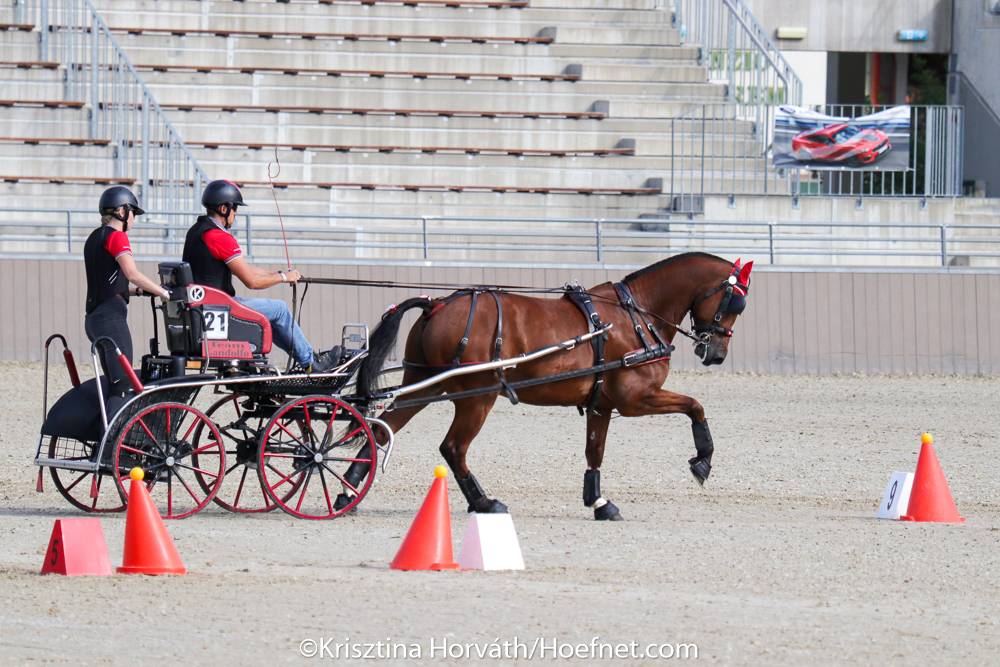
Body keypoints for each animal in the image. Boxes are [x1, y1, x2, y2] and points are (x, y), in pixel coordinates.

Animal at [356, 253, 752, 520]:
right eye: (736, 302)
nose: (716, 353)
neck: (635, 317)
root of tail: (436, 304)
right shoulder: (635, 399)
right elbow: (695, 405)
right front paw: (702, 460)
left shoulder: (601, 405)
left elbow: (595, 452)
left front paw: (599, 502)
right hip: (476, 397)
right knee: (453, 448)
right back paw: (484, 502)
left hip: (423, 385)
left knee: (381, 428)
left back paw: (349, 490)